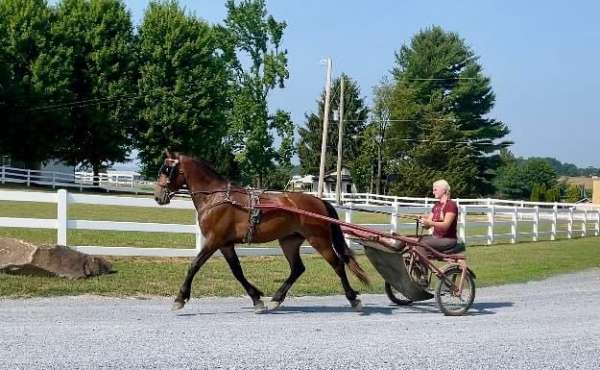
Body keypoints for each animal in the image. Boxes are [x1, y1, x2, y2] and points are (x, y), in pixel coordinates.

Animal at [154, 150, 370, 312]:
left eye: (167, 169)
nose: (158, 196)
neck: (216, 198)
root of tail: (319, 201)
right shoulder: (225, 244)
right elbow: (237, 271)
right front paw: (257, 298)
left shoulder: (214, 240)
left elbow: (194, 265)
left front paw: (180, 298)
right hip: (289, 241)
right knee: (297, 268)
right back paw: (277, 299)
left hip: (319, 239)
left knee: (337, 264)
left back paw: (353, 299)